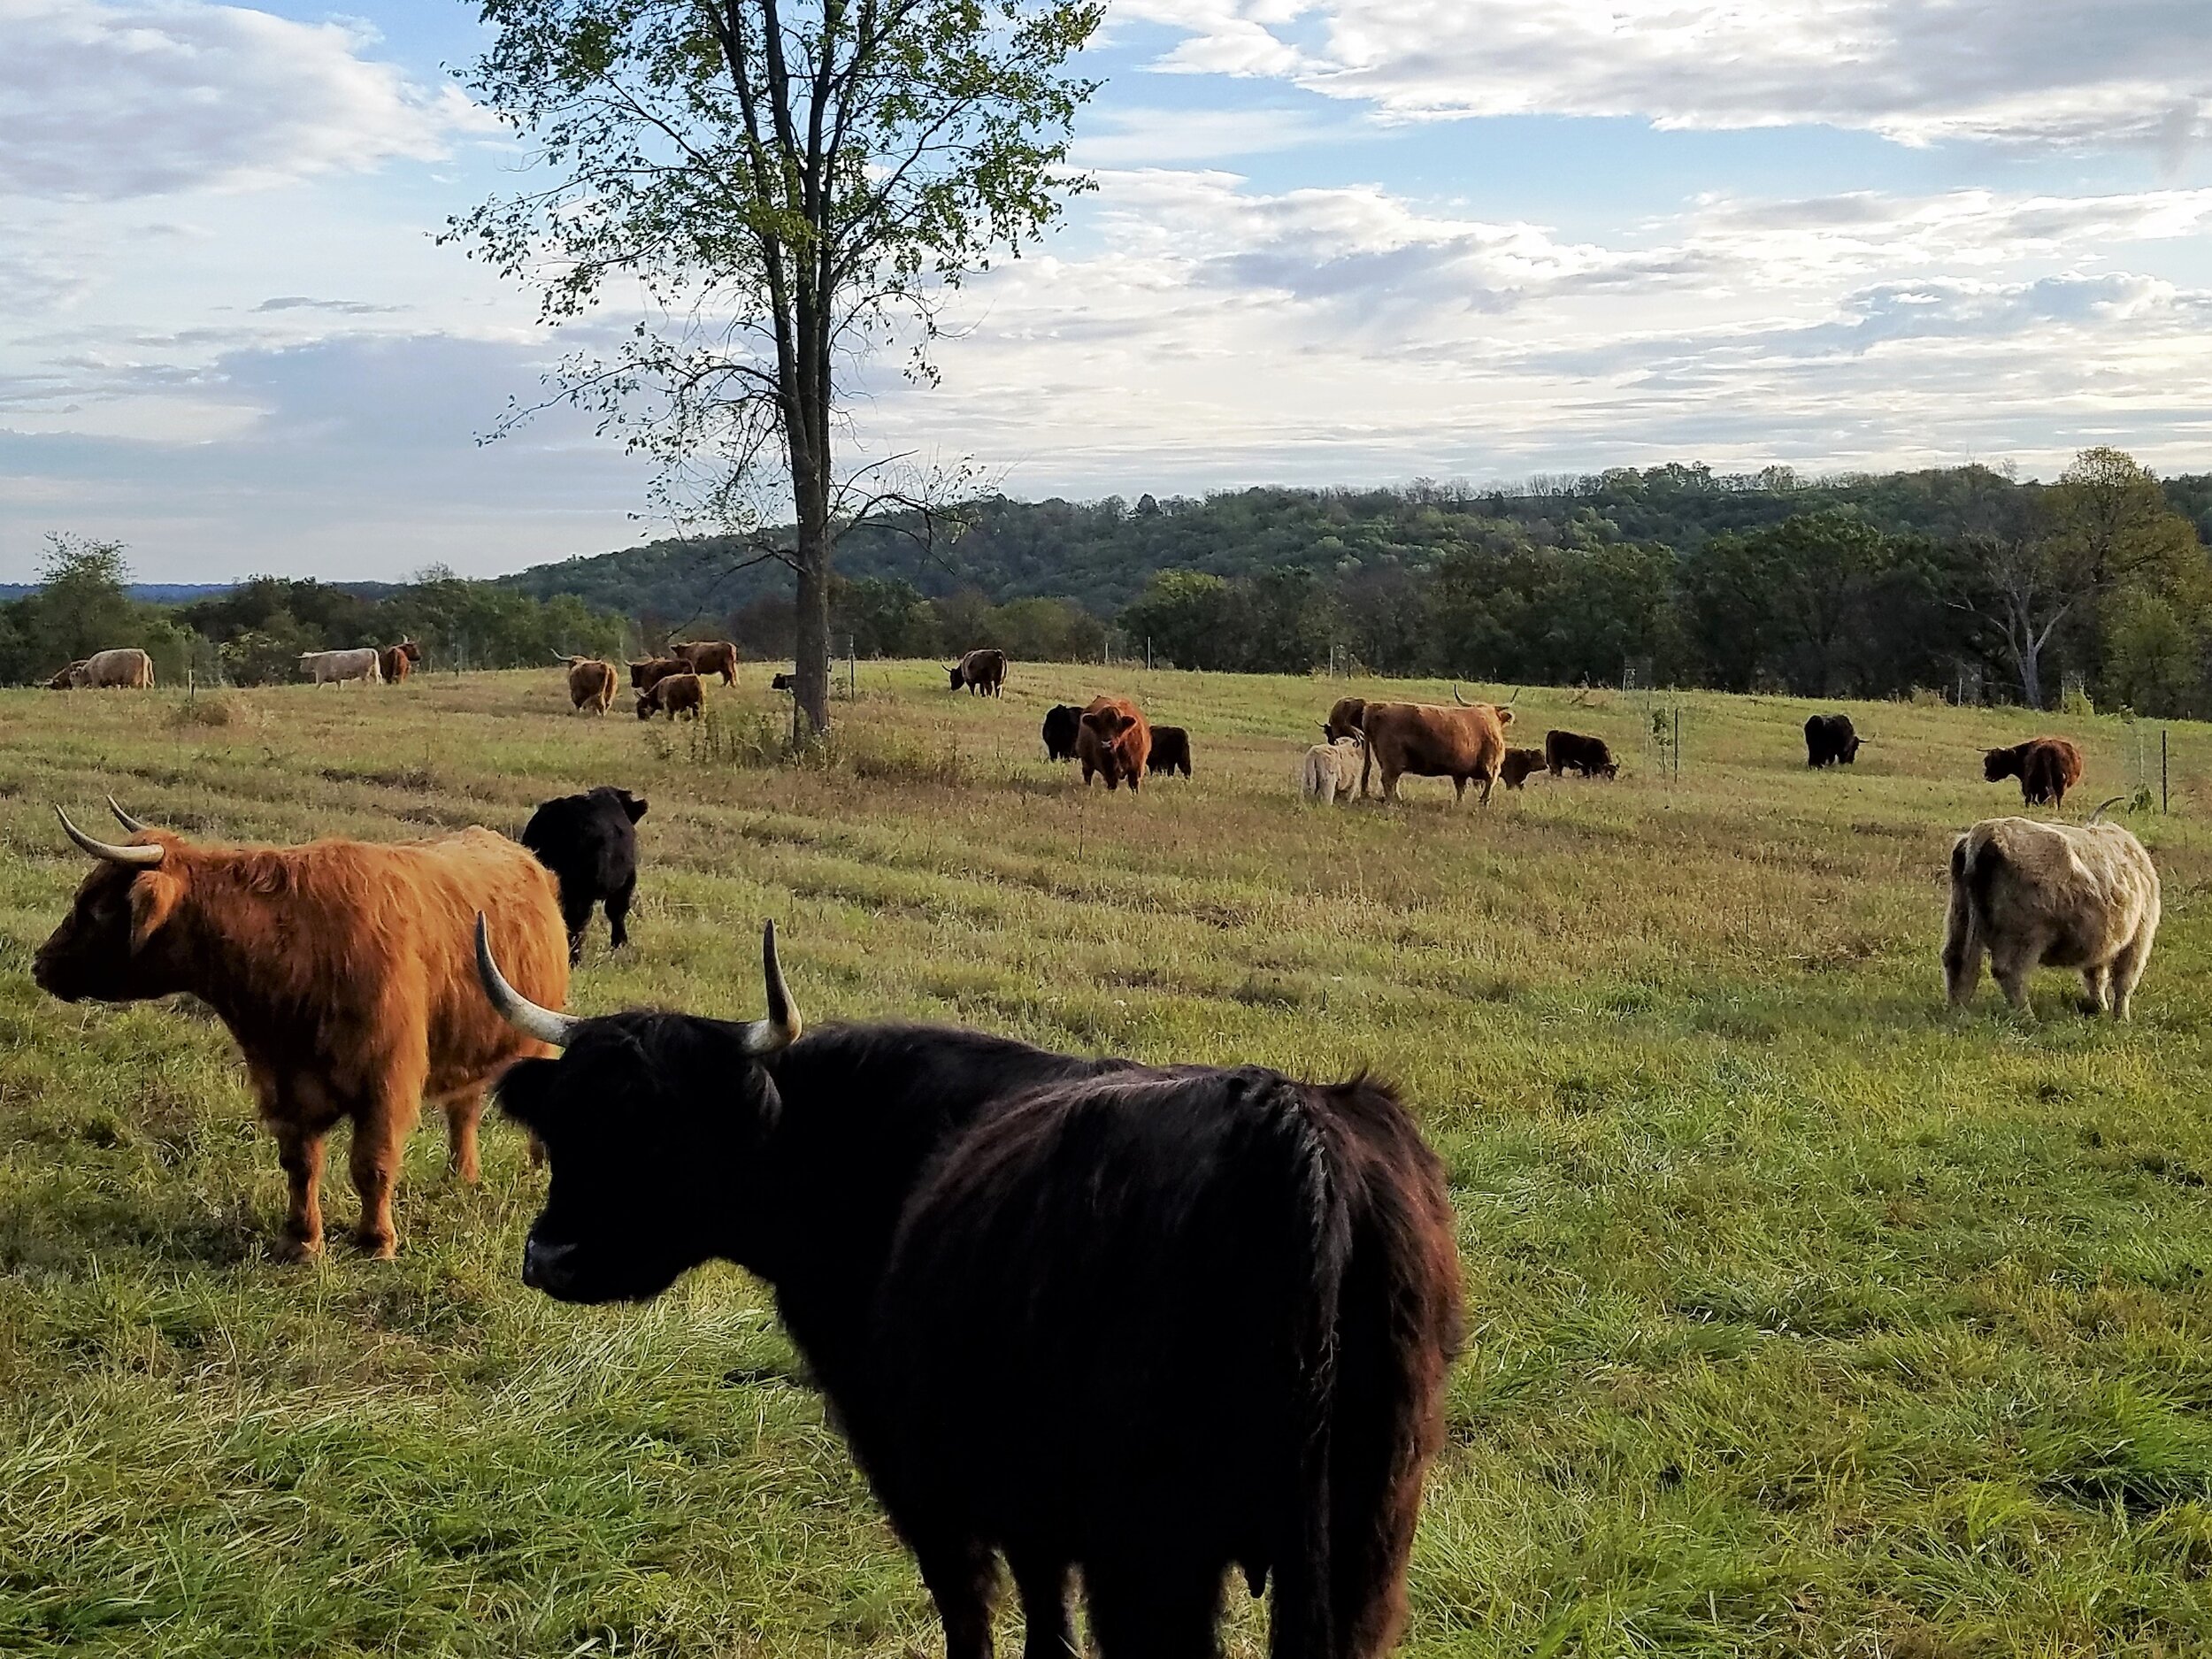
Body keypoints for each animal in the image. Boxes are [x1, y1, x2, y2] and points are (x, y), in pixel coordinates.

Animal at [35, 805, 571, 1256]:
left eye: (95, 907)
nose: (40, 963)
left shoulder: (387, 1082)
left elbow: (372, 1163)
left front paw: (376, 1242)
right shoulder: (284, 1084)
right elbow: (301, 1163)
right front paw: (301, 1241)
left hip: (538, 1031)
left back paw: (536, 1169)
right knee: (464, 1110)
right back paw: (462, 1177)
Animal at [1354, 703, 1513, 805]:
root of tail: (1376, 707)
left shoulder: (1460, 771)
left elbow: (1461, 789)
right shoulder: (1492, 767)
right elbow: (1488, 787)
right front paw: (1483, 804)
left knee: (1392, 781)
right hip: (1393, 760)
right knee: (1388, 780)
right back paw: (1392, 802)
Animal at [1938, 801, 2159, 1022]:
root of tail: (1987, 832)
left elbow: (2096, 976)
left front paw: (2100, 1007)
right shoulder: (2139, 935)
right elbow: (2124, 980)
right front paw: (2121, 1017)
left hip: (1961, 916)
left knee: (1956, 959)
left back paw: (1956, 1009)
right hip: (2025, 934)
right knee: (2009, 971)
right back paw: (2027, 1016)